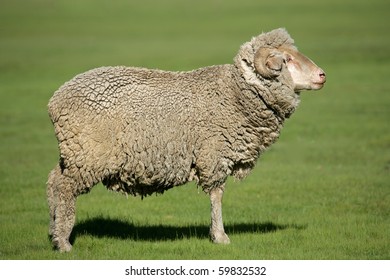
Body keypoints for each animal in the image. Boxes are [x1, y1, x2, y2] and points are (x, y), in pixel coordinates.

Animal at [46, 27, 326, 252]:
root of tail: (55, 100)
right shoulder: (214, 153)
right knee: (65, 189)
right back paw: (64, 242)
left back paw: (53, 230)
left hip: (73, 153)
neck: (236, 94)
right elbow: (216, 195)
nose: (322, 75)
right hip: (87, 155)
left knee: (53, 181)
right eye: (286, 59)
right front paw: (220, 237)